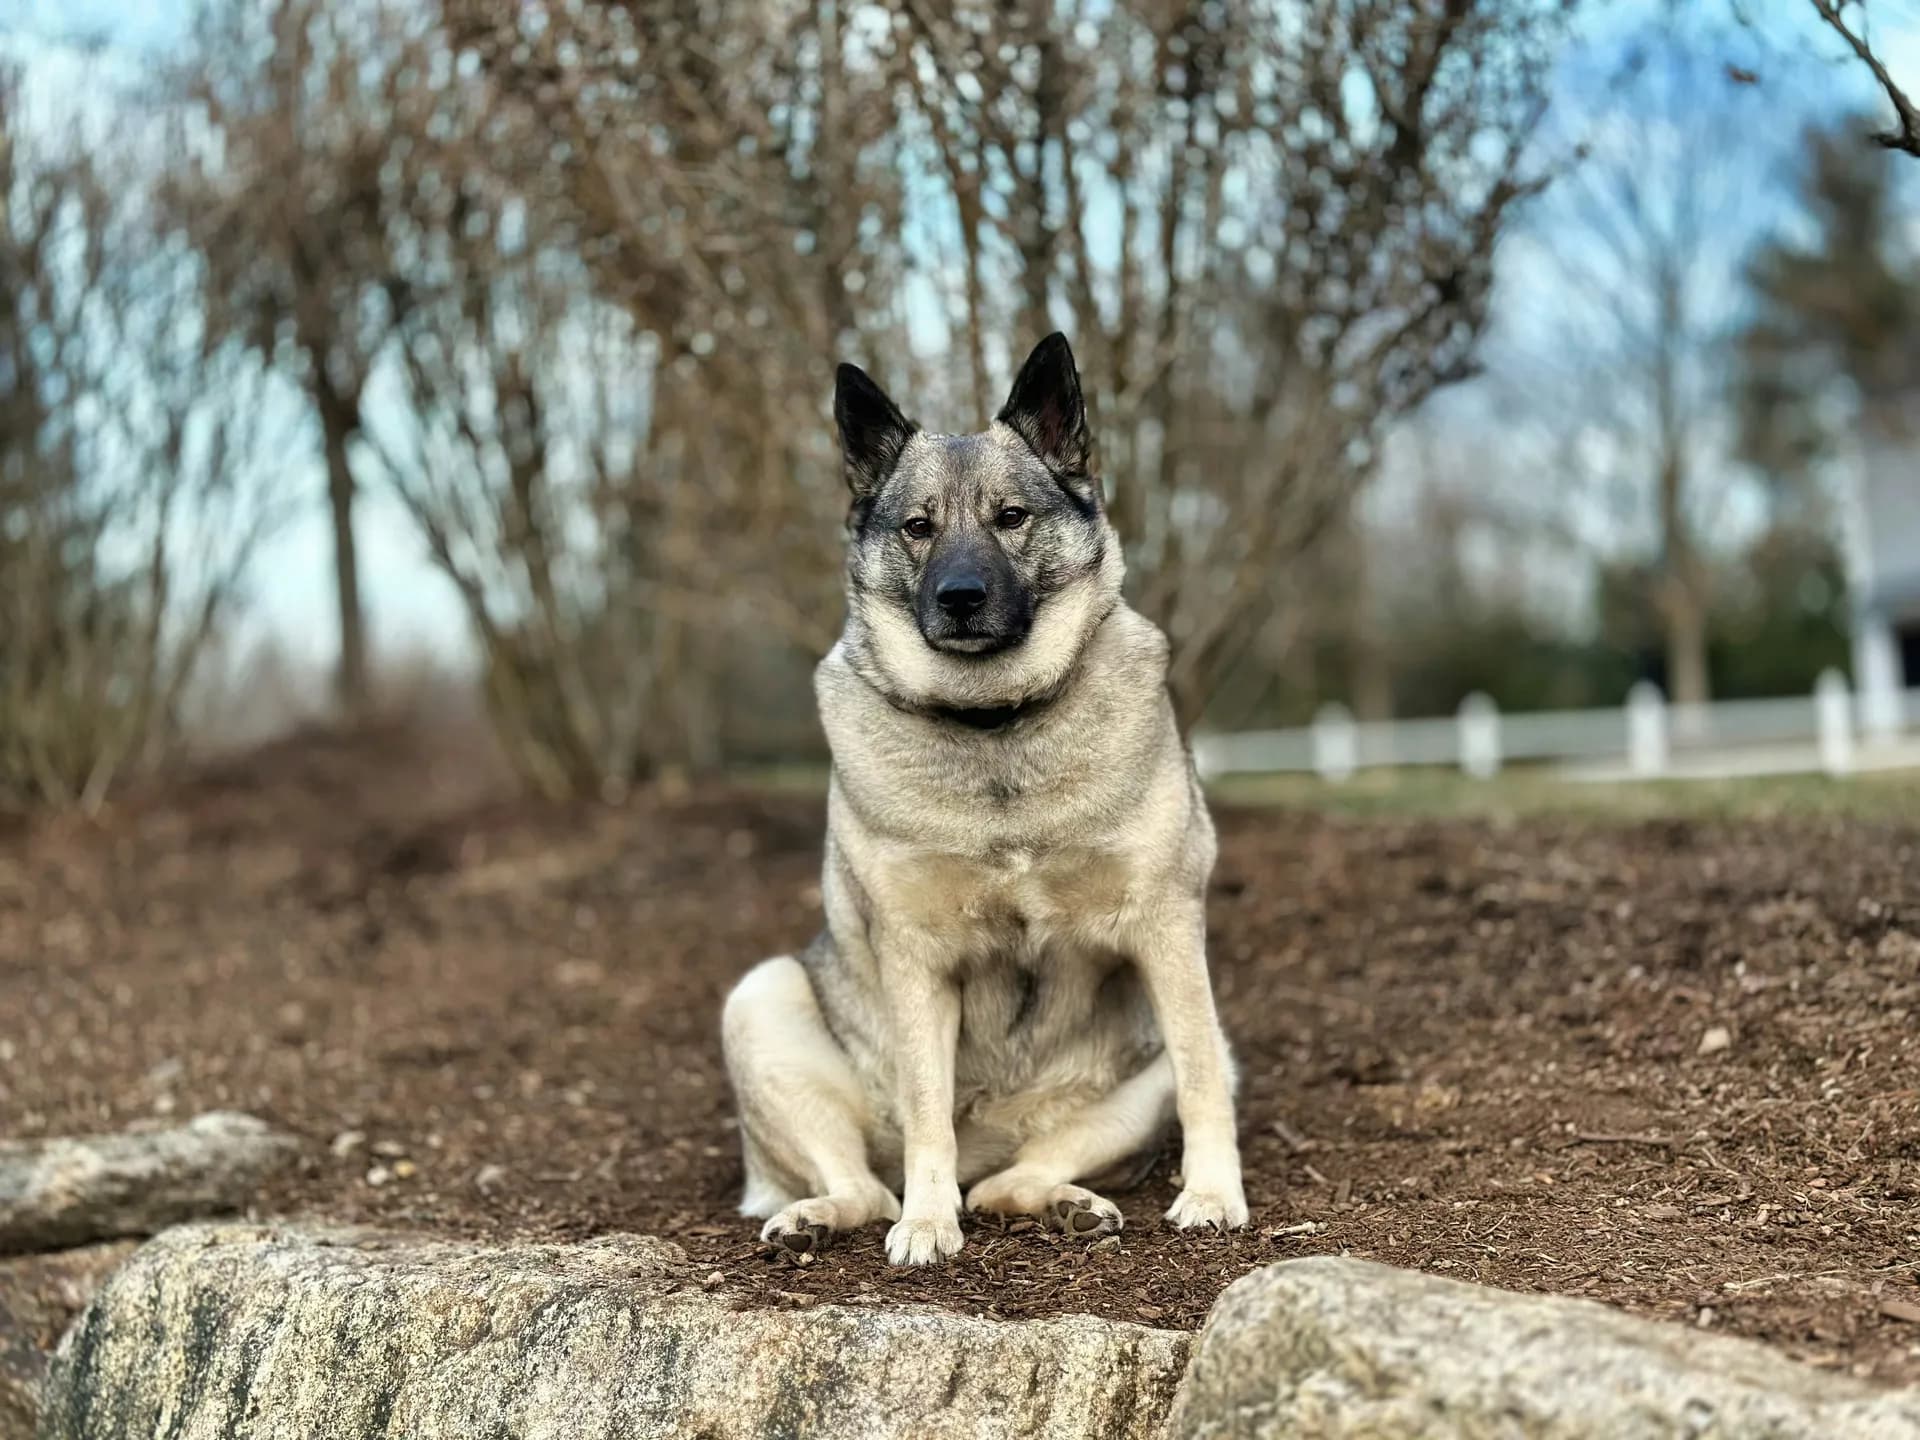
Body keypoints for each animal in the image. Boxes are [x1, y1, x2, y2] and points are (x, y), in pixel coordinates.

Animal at [721, 336, 1244, 1259]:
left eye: (1010, 517)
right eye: (918, 527)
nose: (959, 597)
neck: (995, 724)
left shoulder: (1167, 927)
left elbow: (1199, 1077)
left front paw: (1213, 1193)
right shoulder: (917, 957)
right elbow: (928, 1108)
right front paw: (930, 1225)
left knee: (1012, 1179)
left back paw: (1065, 1203)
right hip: (761, 1000)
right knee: (869, 1187)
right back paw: (824, 1217)